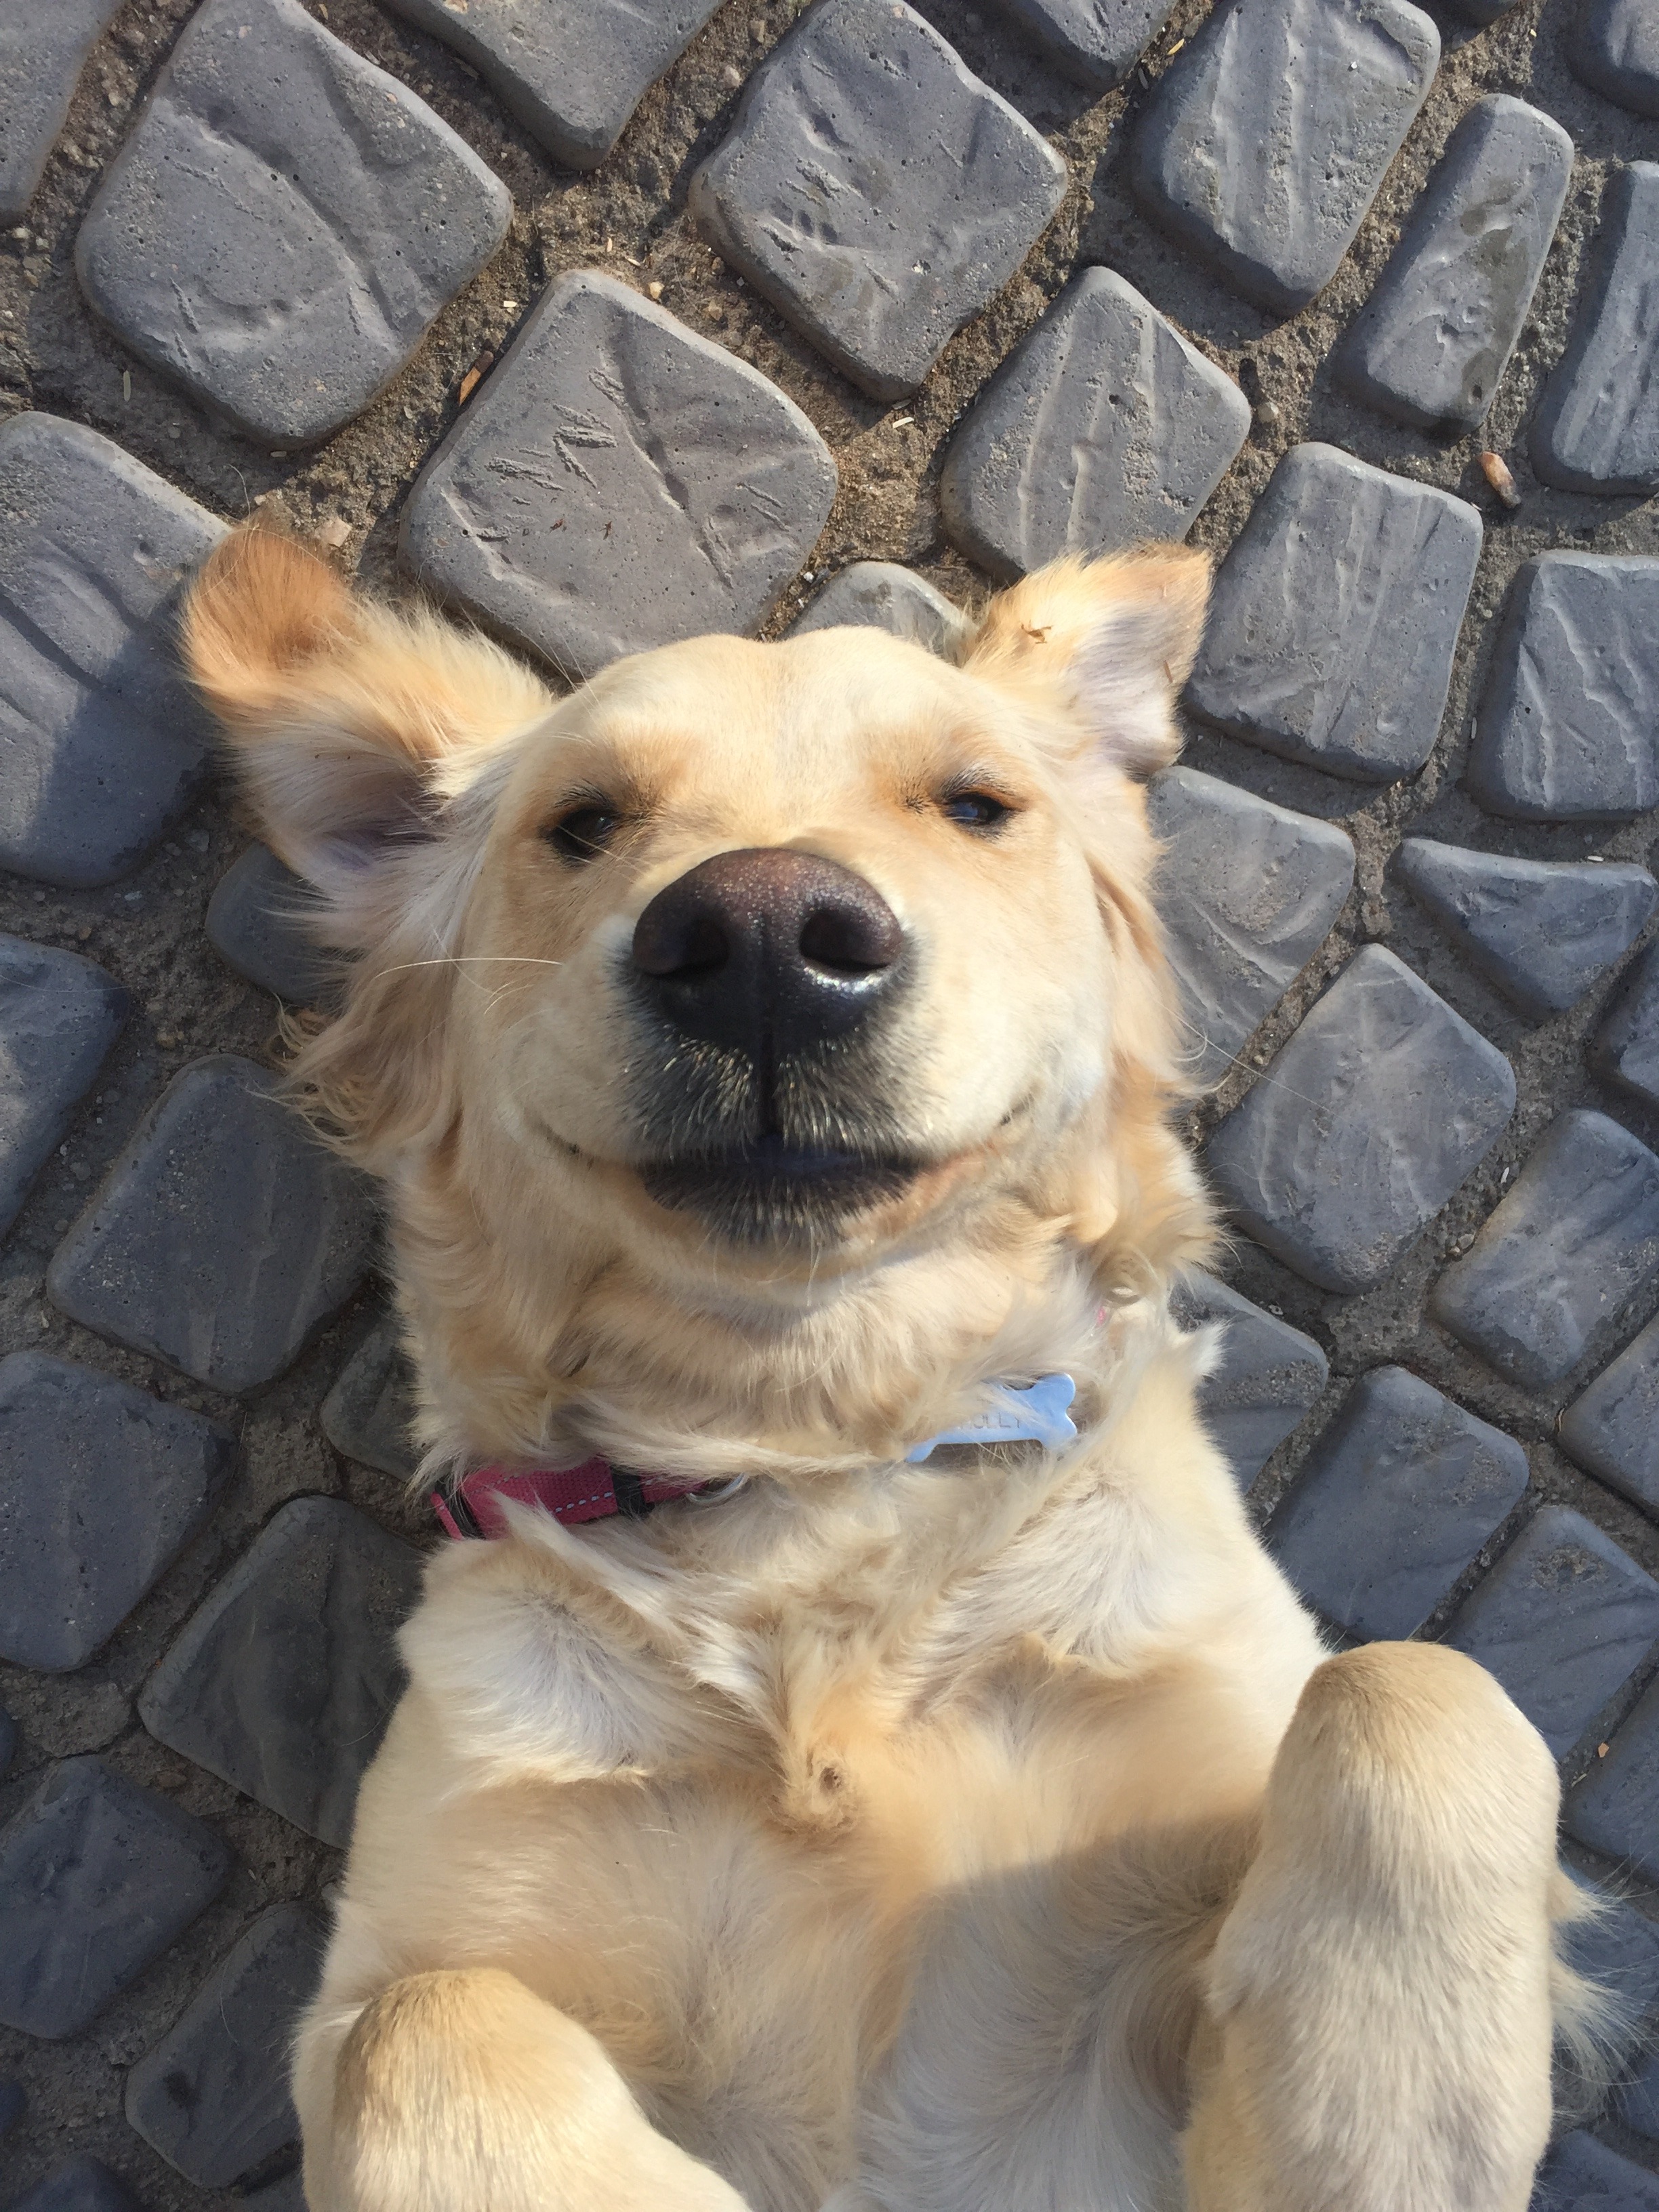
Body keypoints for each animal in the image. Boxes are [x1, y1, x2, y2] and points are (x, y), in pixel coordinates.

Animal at [183, 525, 1593, 2212]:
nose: (765, 941)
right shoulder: (400, 1957)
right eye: (582, 823)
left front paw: (1384, 2126)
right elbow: (424, 2025)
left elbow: (1410, 1687)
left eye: (976, 803)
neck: (814, 1474)